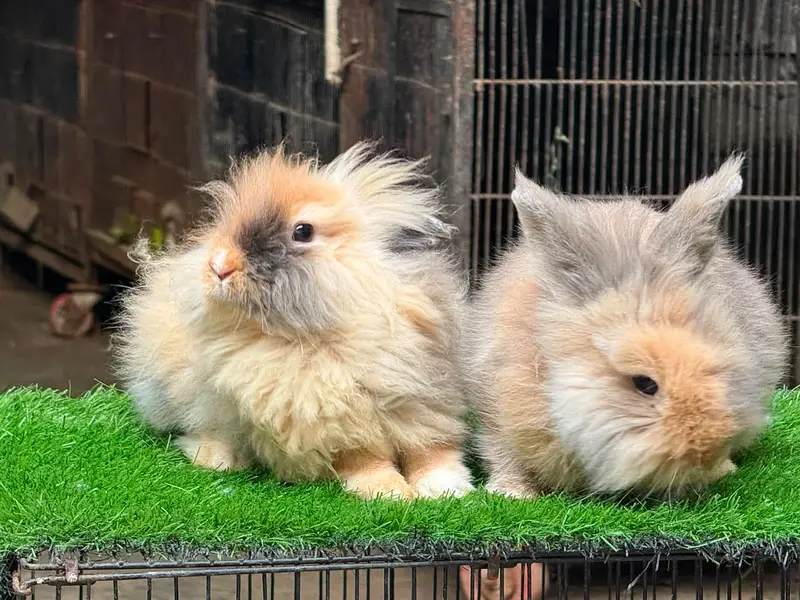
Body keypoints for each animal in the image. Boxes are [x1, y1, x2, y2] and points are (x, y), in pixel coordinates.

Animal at [112, 141, 475, 501]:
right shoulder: (338, 426)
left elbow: (432, 450)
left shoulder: (425, 404)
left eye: (303, 231)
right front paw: (390, 492)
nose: (219, 266)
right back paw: (218, 459)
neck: (317, 335)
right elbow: (365, 460)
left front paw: (449, 487)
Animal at [465, 154, 789, 500]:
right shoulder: (497, 410)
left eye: (717, 370)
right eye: (644, 383)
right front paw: (512, 493)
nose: (706, 451)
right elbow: (504, 453)